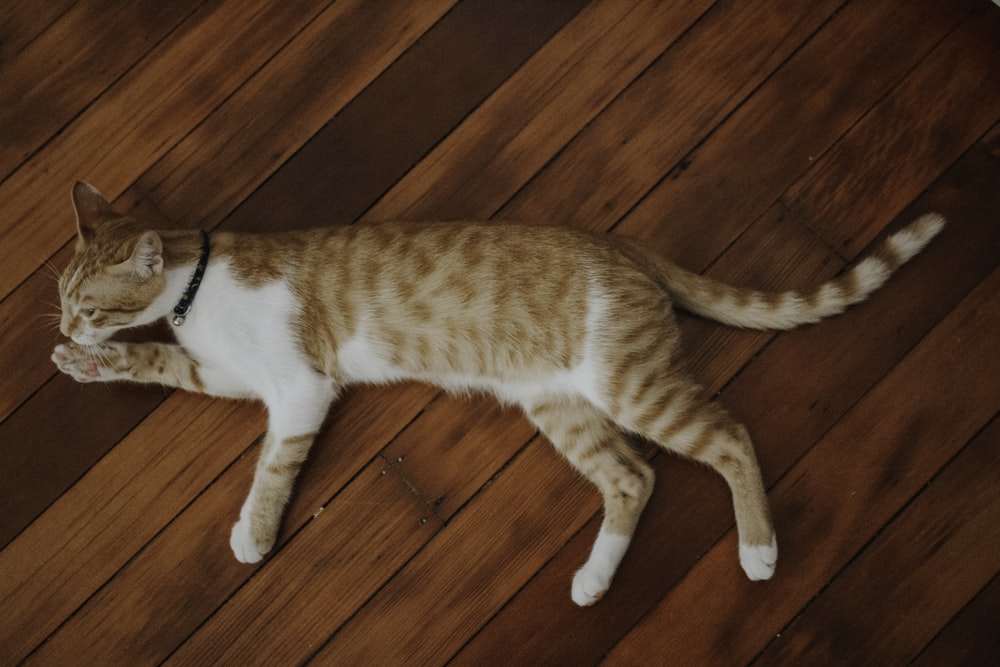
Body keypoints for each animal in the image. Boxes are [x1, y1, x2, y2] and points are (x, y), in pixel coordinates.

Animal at [50, 180, 940, 608]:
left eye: (86, 302)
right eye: (63, 298)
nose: (62, 323)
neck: (199, 288)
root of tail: (616, 243)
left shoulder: (299, 389)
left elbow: (273, 467)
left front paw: (253, 533)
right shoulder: (225, 376)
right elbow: (155, 362)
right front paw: (84, 364)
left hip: (631, 386)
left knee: (728, 438)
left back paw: (759, 549)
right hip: (560, 403)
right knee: (634, 477)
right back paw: (594, 579)